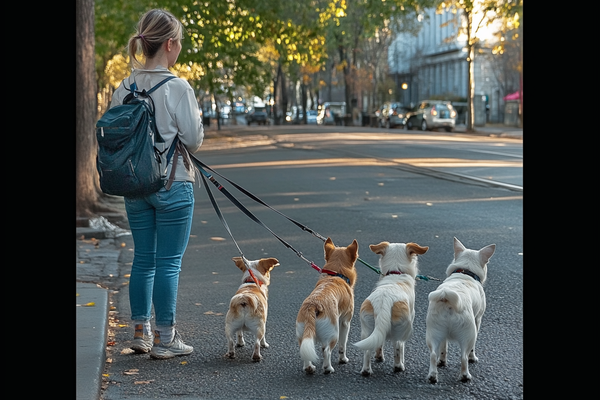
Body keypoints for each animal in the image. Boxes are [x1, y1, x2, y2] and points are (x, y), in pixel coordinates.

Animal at [294, 238, 356, 376]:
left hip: (304, 334)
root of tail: (313, 305)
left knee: (305, 352)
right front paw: (343, 359)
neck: (335, 275)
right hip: (334, 333)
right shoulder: (345, 322)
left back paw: (309, 368)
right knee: (327, 350)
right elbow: (343, 345)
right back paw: (328, 368)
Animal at [354, 241, 428, 376]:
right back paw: (399, 367)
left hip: (367, 329)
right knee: (398, 347)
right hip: (402, 329)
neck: (395, 272)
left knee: (367, 351)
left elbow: (379, 344)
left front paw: (379, 356)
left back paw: (367, 370)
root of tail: (384, 301)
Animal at [426, 236, 496, 382]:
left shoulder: (443, 337)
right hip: (469, 334)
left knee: (433, 355)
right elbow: (471, 350)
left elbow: (443, 348)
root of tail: (446, 297)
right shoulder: (478, 320)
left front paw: (442, 361)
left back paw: (433, 376)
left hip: (433, 332)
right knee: (464, 357)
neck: (465, 272)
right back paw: (465, 376)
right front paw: (473, 358)